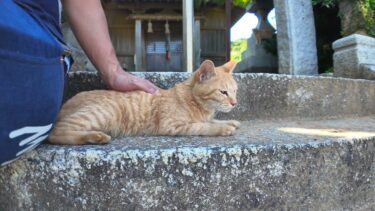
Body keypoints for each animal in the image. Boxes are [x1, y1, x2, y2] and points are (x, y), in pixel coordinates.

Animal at [48, 60, 241, 144]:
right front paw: (223, 128)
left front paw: (231, 121)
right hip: (104, 113)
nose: (235, 103)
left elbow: (212, 120)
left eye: (235, 91)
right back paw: (94, 137)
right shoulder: (172, 125)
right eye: (223, 92)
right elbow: (202, 126)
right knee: (55, 134)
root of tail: (66, 103)